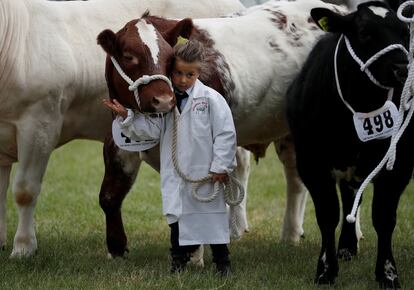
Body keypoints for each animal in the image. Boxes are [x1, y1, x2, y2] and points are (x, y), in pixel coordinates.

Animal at [97, 0, 350, 258]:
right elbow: (109, 196)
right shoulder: (117, 142)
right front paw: (117, 249)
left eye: (170, 57)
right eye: (129, 56)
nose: (163, 100)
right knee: (295, 175)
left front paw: (193, 255)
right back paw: (290, 234)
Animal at [286, 1, 412, 288]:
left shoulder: (398, 166)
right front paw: (325, 270)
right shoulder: (311, 163)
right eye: (364, 33)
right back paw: (345, 247)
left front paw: (388, 273)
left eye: (405, 33)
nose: (402, 68)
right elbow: (327, 214)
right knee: (350, 196)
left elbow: (384, 217)